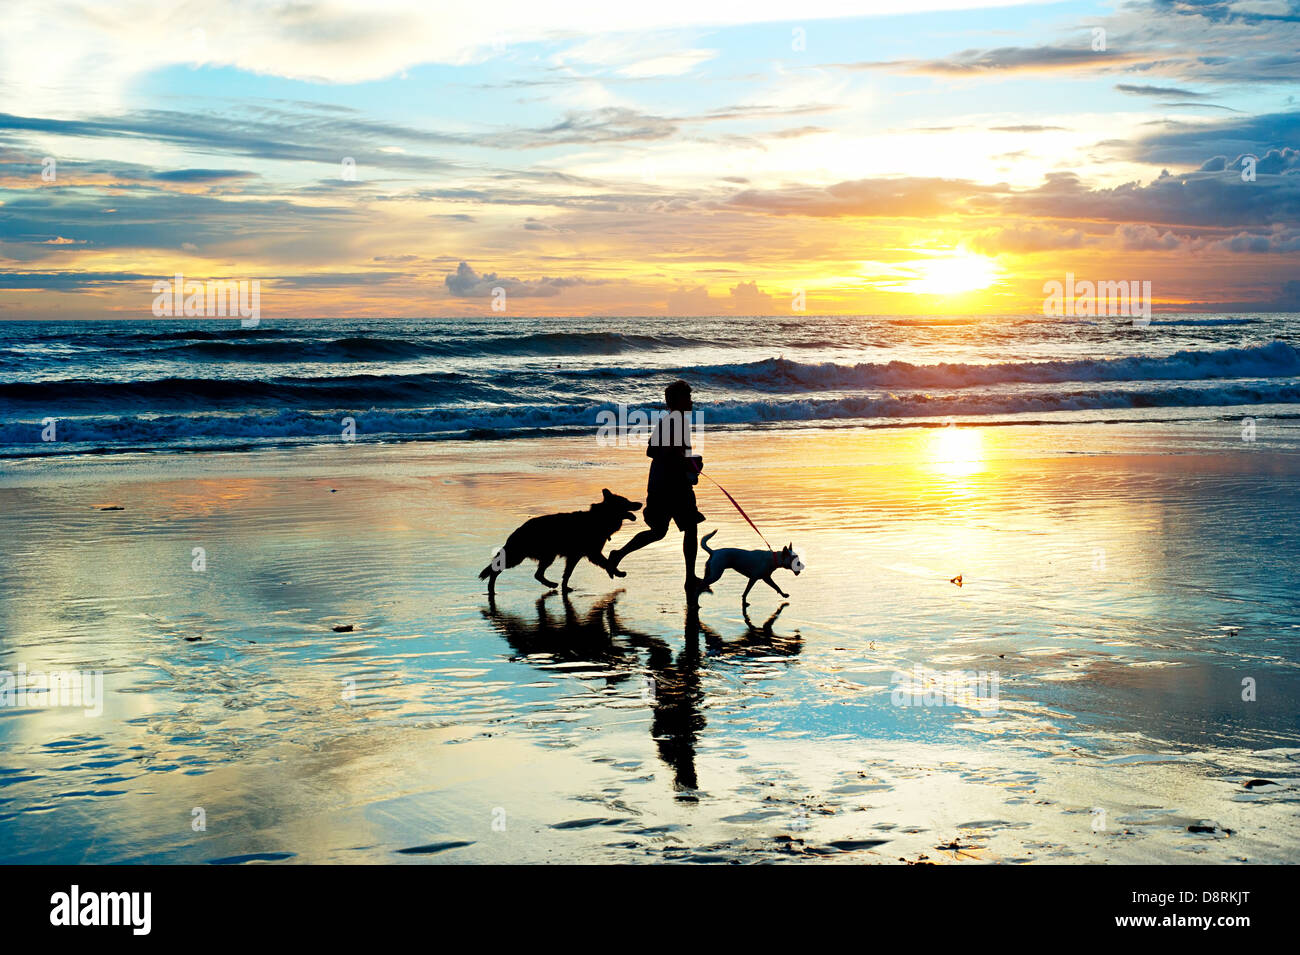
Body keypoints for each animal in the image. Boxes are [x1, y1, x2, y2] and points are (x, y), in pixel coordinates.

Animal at [480, 488, 642, 595]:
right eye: (626, 502)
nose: (640, 503)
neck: (600, 519)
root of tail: (518, 530)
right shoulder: (591, 554)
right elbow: (607, 562)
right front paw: (617, 572)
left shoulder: (575, 556)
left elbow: (567, 574)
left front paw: (565, 588)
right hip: (519, 557)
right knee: (496, 569)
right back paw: (491, 589)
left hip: (547, 556)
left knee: (538, 574)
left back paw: (550, 584)